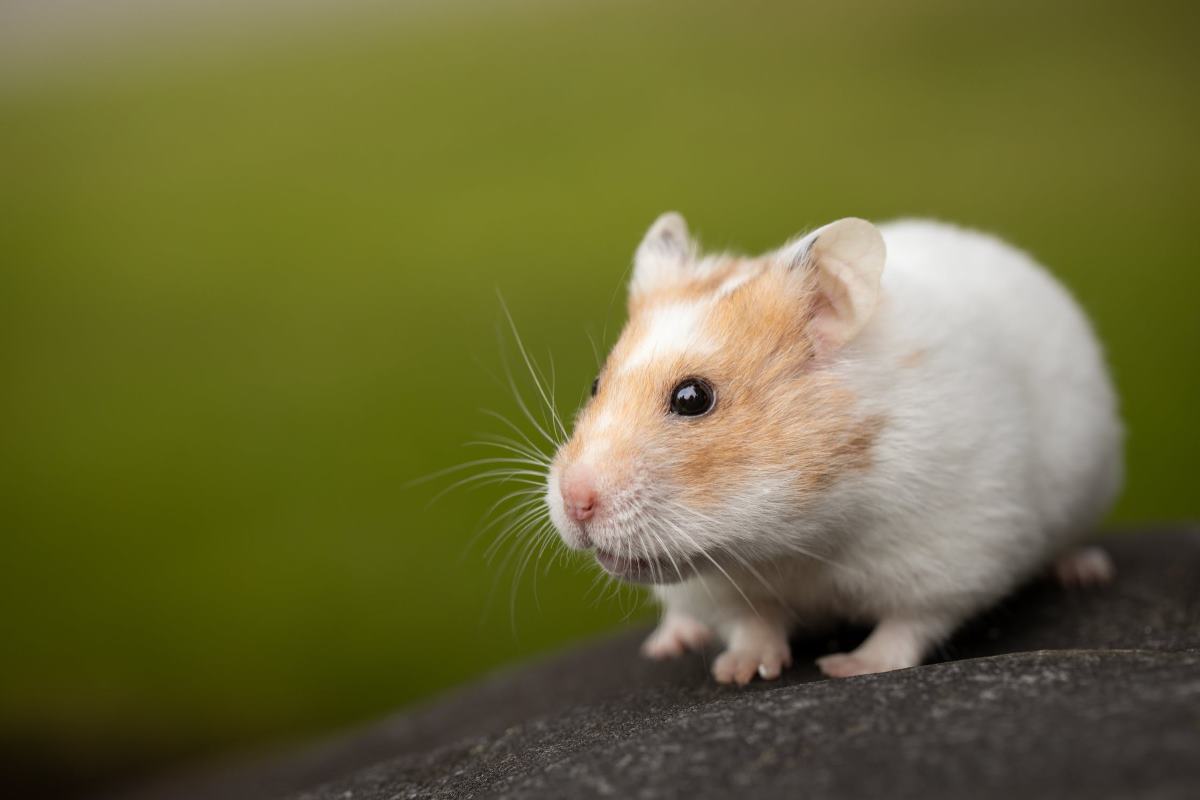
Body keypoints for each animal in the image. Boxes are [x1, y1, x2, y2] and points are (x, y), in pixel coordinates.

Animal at [545, 213, 1123, 683]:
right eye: (595, 385)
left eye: (692, 398)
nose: (575, 502)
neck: (796, 539)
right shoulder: (719, 587)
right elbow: (751, 622)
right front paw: (739, 672)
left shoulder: (956, 551)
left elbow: (909, 625)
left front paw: (847, 667)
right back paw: (672, 641)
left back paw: (1084, 571)